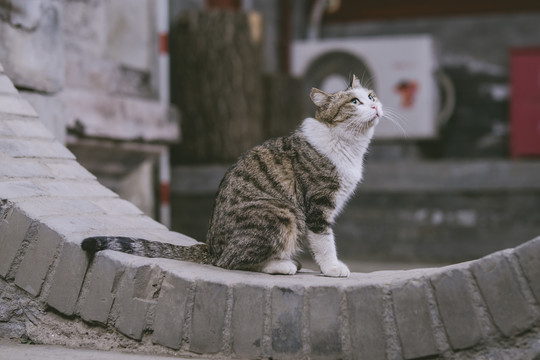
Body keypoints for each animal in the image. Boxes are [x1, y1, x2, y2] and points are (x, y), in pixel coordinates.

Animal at [82, 74, 382, 278]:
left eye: (371, 96)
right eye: (354, 102)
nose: (375, 107)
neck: (348, 144)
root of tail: (211, 247)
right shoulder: (317, 206)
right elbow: (323, 240)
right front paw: (333, 268)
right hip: (281, 212)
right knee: (231, 261)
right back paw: (281, 264)